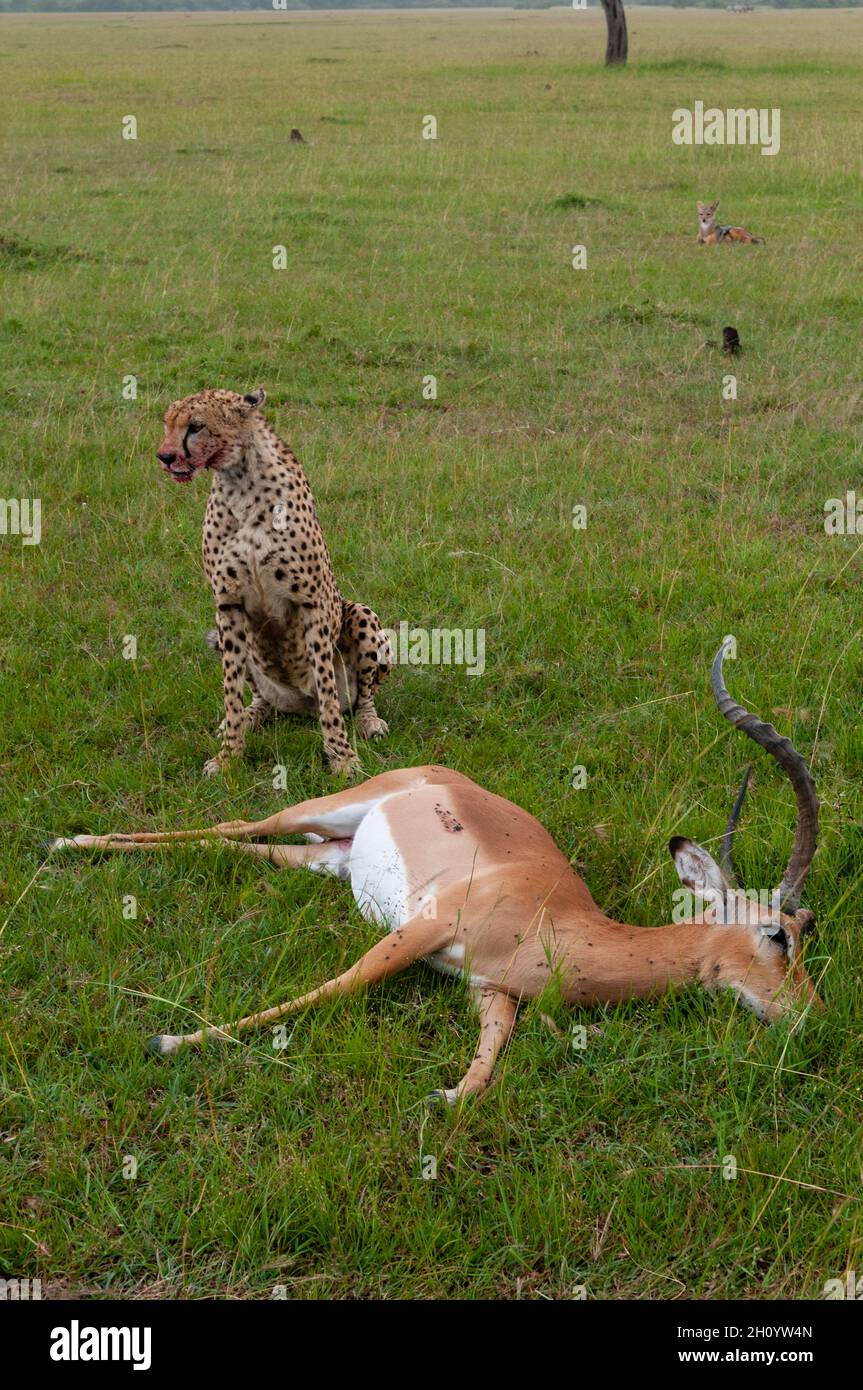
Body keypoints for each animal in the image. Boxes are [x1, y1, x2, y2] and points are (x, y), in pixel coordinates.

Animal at [158, 391, 389, 778]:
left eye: (196, 426)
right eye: (167, 424)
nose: (165, 456)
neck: (240, 481)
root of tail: (300, 705)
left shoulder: (312, 602)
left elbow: (327, 688)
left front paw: (341, 756)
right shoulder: (228, 604)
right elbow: (230, 690)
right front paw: (228, 756)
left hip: (360, 614)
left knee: (361, 697)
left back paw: (369, 722)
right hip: (228, 639)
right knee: (259, 697)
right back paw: (252, 716)